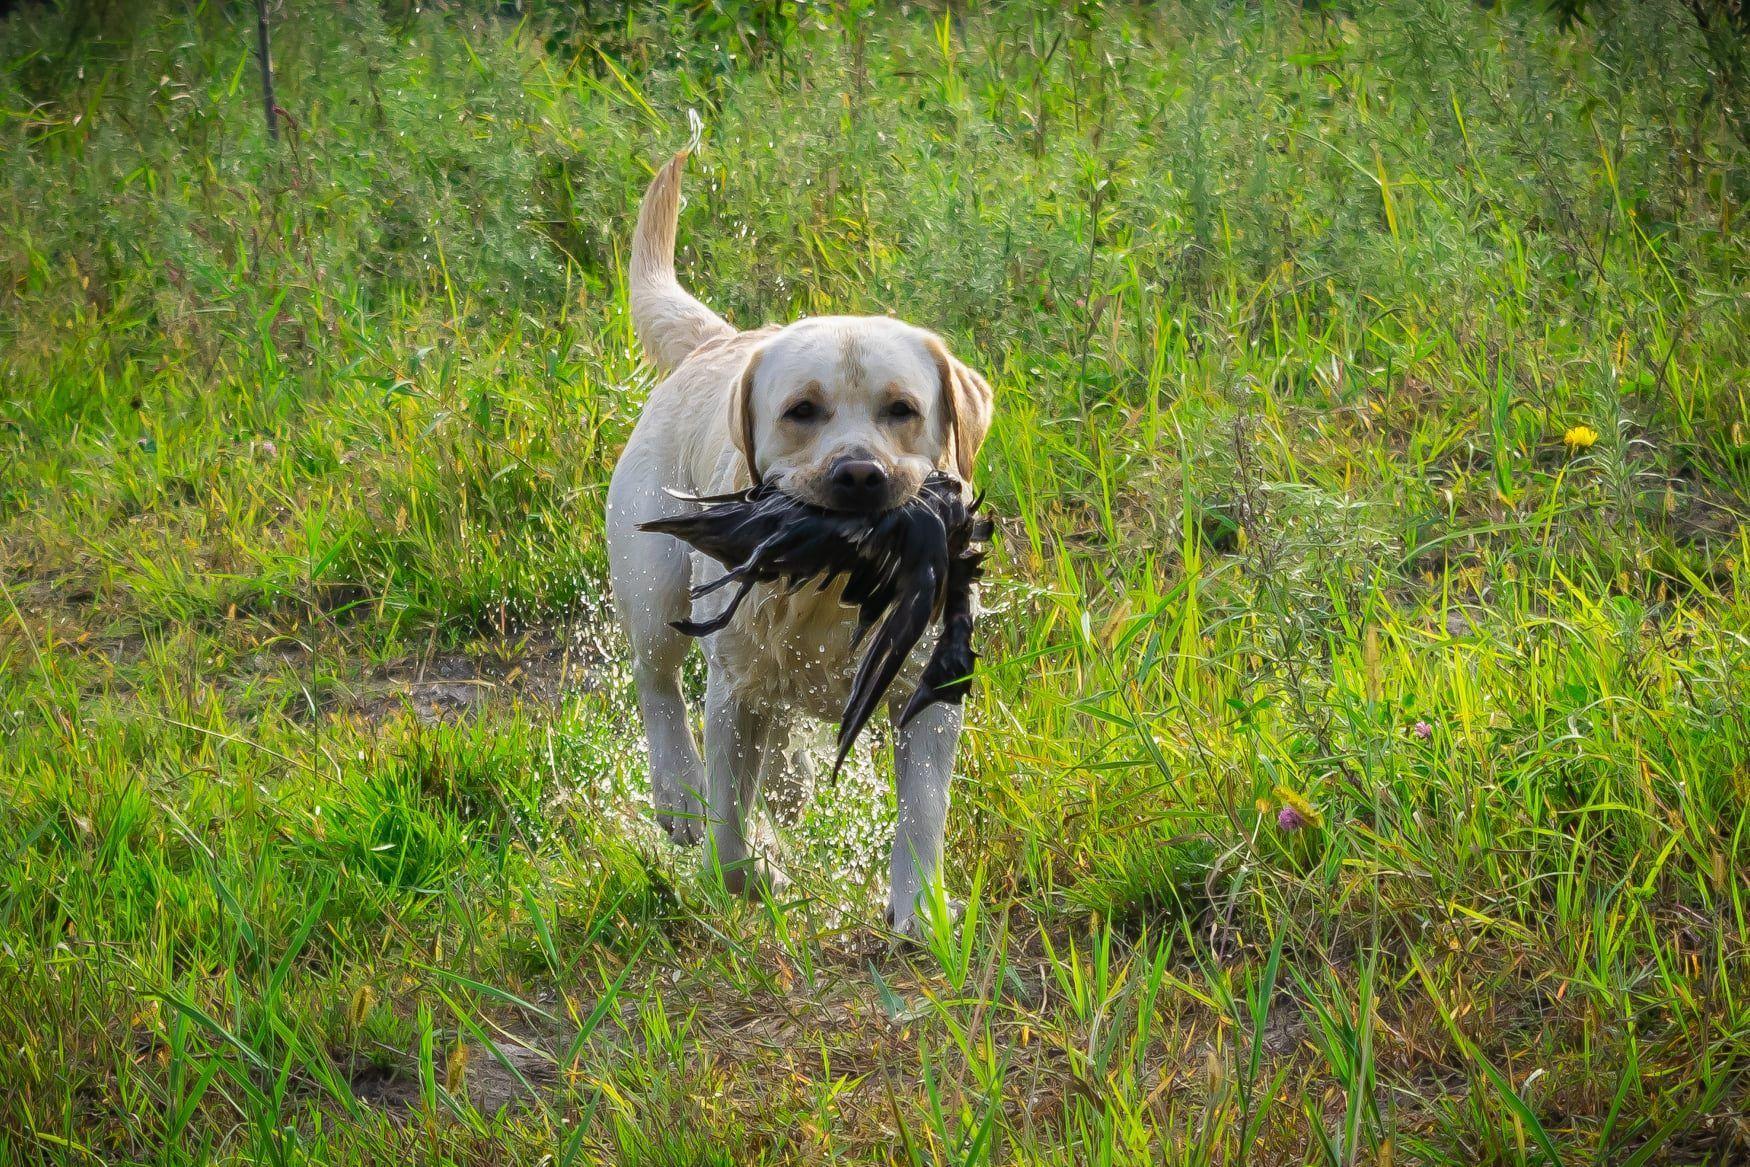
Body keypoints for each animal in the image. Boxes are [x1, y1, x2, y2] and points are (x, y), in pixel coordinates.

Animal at [605, 154, 994, 930]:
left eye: (902, 409)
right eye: (801, 411)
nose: (860, 474)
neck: (836, 583)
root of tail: (716, 342)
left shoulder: (930, 693)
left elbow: (922, 813)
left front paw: (920, 911)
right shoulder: (733, 691)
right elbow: (728, 825)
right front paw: (752, 869)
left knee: (780, 740)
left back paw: (790, 781)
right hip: (653, 582)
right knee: (658, 685)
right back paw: (677, 793)